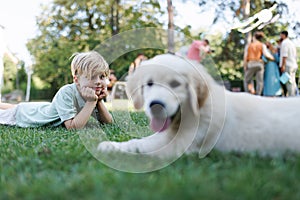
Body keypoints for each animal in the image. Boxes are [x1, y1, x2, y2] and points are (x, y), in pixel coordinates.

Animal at [97, 54, 300, 159]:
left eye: (175, 84)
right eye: (149, 84)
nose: (156, 106)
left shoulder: (181, 146)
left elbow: (143, 146)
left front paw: (109, 146)